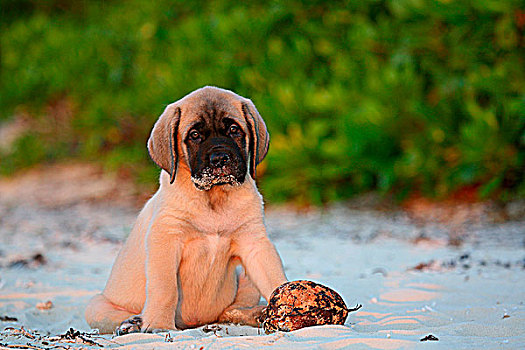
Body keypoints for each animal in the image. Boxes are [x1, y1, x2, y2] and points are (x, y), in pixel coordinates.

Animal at [85, 87, 286, 334]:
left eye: (234, 130)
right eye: (195, 135)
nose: (220, 159)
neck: (213, 198)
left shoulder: (255, 244)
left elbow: (275, 278)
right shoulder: (166, 240)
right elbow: (165, 288)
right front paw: (158, 324)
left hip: (243, 276)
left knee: (230, 310)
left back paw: (256, 314)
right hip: (96, 306)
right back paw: (132, 323)